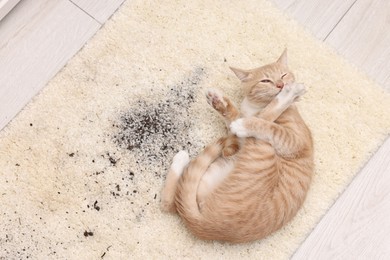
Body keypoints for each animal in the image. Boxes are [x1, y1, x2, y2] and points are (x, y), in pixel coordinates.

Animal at [161, 49, 314, 243]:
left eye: (283, 75)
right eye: (266, 81)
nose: (281, 84)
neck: (254, 107)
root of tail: (207, 225)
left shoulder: (294, 140)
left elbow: (265, 124)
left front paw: (244, 123)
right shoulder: (241, 138)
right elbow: (237, 117)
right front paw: (219, 103)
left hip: (264, 151)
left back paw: (290, 93)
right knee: (169, 203)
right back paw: (181, 159)